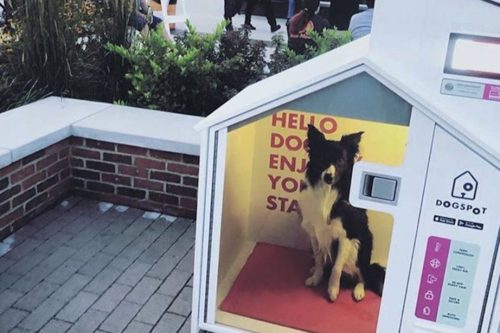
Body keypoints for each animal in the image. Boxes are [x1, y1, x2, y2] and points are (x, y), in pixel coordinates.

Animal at [298, 124, 384, 300]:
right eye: (322, 158)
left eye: (341, 161)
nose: (328, 177)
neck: (328, 191)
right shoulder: (314, 232)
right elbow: (318, 258)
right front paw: (316, 277)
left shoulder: (346, 236)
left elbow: (337, 267)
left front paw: (332, 290)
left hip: (362, 247)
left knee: (363, 275)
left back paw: (359, 290)